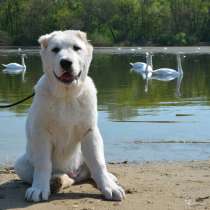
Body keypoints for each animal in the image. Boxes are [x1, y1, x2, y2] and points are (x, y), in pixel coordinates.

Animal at [14, 30, 124, 202]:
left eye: (76, 48)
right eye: (55, 50)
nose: (66, 62)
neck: (67, 96)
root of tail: (73, 174)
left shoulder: (89, 132)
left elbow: (98, 163)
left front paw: (110, 188)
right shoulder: (41, 133)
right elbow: (43, 164)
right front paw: (39, 189)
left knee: (92, 168)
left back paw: (108, 178)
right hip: (21, 164)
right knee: (59, 175)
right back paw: (55, 182)